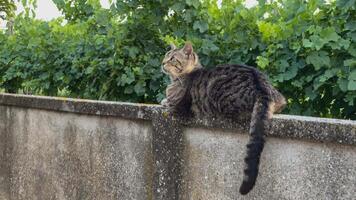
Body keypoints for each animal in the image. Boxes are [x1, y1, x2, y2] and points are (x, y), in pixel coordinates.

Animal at [161, 41, 286, 195]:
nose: (162, 63)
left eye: (172, 59)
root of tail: (261, 87)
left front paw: (164, 100)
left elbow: (168, 102)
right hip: (278, 97)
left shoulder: (177, 106)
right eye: (165, 55)